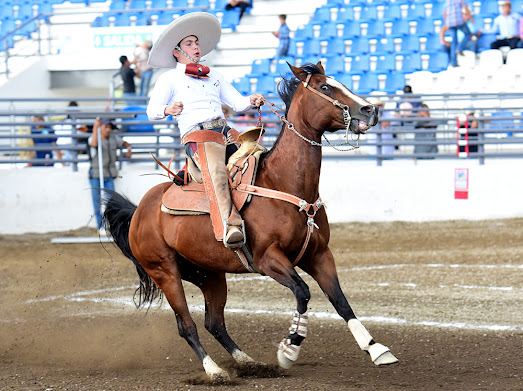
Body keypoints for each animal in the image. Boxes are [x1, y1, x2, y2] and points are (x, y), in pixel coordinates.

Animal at [102, 62, 398, 382]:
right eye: (325, 87)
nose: (370, 110)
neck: (283, 182)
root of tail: (139, 210)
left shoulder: (318, 254)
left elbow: (340, 301)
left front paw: (376, 349)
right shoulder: (268, 259)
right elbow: (303, 292)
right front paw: (289, 348)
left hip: (209, 274)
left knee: (214, 323)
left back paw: (248, 362)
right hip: (164, 271)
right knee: (187, 325)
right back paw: (215, 371)